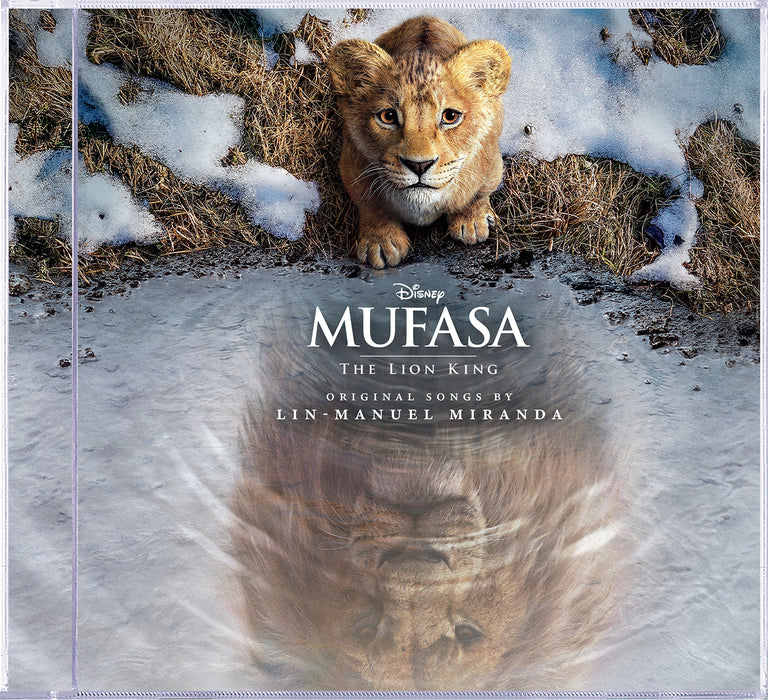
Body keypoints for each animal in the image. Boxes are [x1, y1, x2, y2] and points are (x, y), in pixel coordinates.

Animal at [326, 16, 512, 268]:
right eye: (388, 116)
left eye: (450, 116)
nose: (419, 165)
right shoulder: (352, 164)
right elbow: (370, 205)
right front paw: (381, 243)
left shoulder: (492, 164)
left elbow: (477, 195)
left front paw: (472, 223)